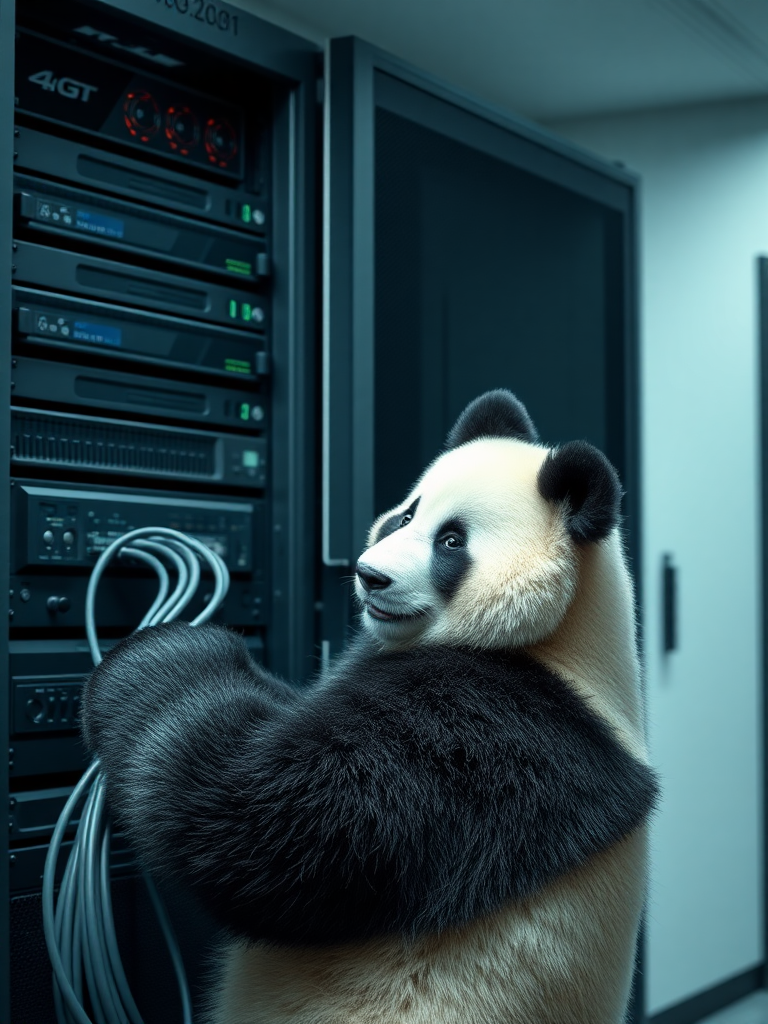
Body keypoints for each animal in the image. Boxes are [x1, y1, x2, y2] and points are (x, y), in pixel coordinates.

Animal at [82, 391, 663, 1024]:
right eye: (405, 516)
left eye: (451, 542)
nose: (369, 575)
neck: (562, 637)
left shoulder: (492, 736)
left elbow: (271, 819)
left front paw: (158, 655)